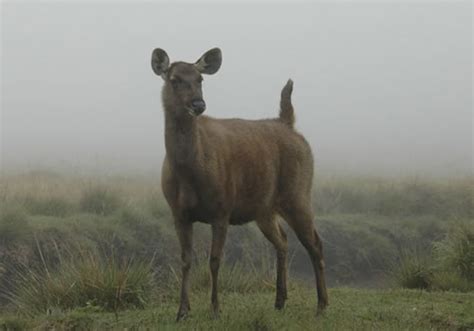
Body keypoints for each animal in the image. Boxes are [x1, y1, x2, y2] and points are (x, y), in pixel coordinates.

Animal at [152, 47, 330, 322]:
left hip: (298, 192)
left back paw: (321, 305)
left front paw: (215, 309)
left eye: (200, 80)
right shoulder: (178, 213)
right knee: (283, 240)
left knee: (315, 243)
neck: (188, 174)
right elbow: (185, 260)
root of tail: (288, 123)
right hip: (264, 208)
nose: (198, 104)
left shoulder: (222, 208)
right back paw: (280, 300)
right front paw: (182, 311)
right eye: (174, 80)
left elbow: (215, 260)